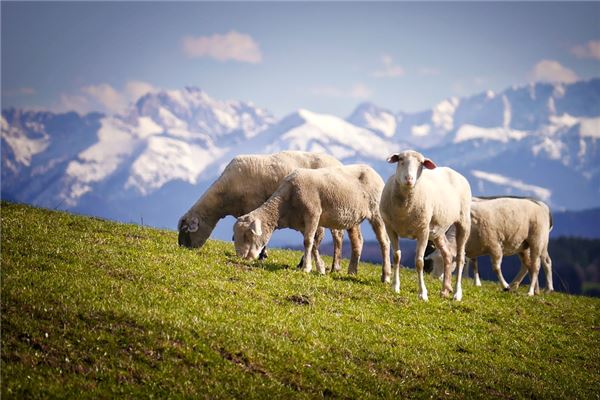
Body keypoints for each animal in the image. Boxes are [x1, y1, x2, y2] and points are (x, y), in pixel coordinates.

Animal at [176, 151, 352, 272]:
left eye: (186, 231)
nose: (182, 248)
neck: (223, 197)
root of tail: (339, 163)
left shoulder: (254, 204)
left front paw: (262, 255)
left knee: (337, 236)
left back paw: (335, 266)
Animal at [233, 164, 394, 280]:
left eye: (248, 235)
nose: (242, 257)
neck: (285, 204)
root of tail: (373, 172)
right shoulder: (302, 222)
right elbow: (314, 243)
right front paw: (320, 268)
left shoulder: (313, 213)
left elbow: (308, 242)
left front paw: (306, 268)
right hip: (353, 217)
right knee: (358, 241)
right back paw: (352, 271)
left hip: (376, 212)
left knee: (384, 242)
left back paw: (385, 276)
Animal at [380, 150, 474, 300]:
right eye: (400, 159)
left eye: (421, 163)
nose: (409, 179)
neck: (404, 208)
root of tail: (453, 171)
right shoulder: (390, 228)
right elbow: (396, 256)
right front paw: (395, 287)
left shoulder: (423, 231)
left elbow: (419, 262)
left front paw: (422, 293)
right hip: (438, 230)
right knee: (447, 255)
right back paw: (445, 290)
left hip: (463, 222)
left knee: (460, 258)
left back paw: (457, 293)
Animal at [424, 195, 556, 296]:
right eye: (433, 261)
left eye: (446, 262)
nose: (435, 277)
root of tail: (541, 206)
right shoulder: (471, 249)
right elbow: (474, 264)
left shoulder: (495, 246)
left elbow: (496, 267)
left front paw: (505, 285)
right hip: (523, 245)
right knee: (527, 265)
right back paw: (525, 287)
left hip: (538, 241)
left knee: (538, 265)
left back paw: (532, 291)